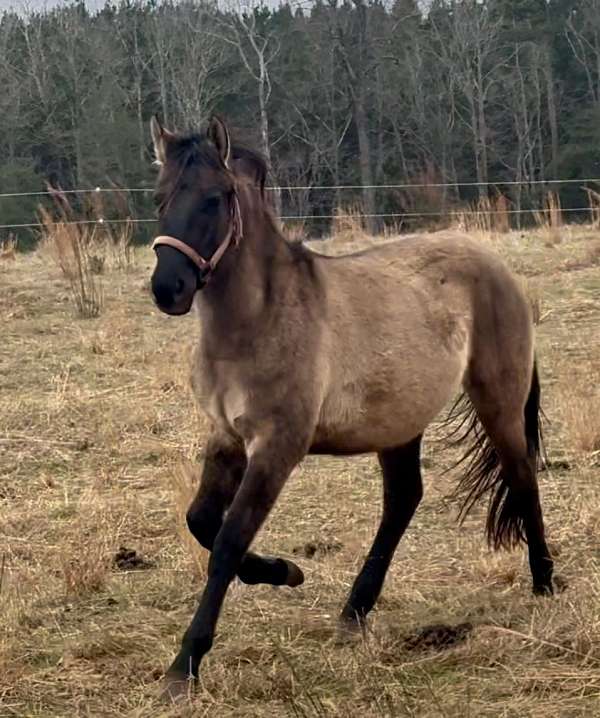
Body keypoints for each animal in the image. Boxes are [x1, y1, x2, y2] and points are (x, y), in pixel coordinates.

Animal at [148, 115, 552, 700]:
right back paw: (355, 610)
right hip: (399, 422)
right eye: (159, 198)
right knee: (403, 499)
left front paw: (185, 664)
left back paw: (544, 582)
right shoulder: (226, 437)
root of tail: (498, 268)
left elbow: (227, 540)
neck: (257, 321)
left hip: (497, 401)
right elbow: (201, 521)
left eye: (215, 198)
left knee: (521, 476)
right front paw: (283, 570)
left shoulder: (278, 447)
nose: (169, 288)